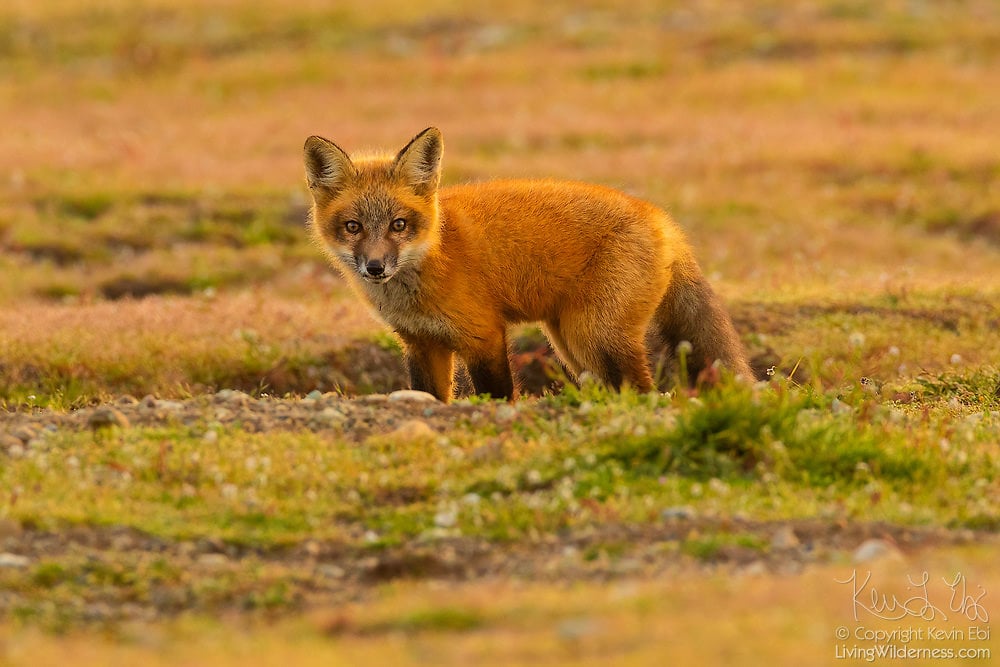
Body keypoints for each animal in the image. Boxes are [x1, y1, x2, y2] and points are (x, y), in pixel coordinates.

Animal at [303, 127, 753, 402]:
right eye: (353, 226)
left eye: (399, 224)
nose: (376, 267)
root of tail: (661, 218)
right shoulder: (420, 343)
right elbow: (430, 396)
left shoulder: (483, 334)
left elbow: (499, 394)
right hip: (572, 344)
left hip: (596, 335)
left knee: (642, 390)